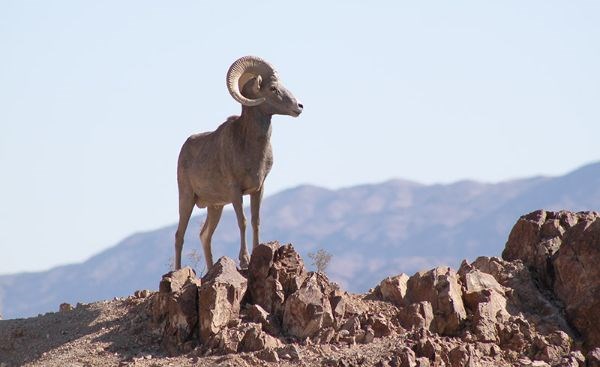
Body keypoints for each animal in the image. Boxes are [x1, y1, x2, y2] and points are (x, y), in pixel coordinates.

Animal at [175, 56, 304, 272]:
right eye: (273, 88)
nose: (300, 106)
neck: (248, 146)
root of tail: (184, 148)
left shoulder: (258, 190)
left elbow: (255, 221)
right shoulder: (236, 191)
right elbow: (242, 221)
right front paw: (244, 260)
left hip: (215, 207)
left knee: (205, 236)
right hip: (187, 199)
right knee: (179, 236)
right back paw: (176, 270)